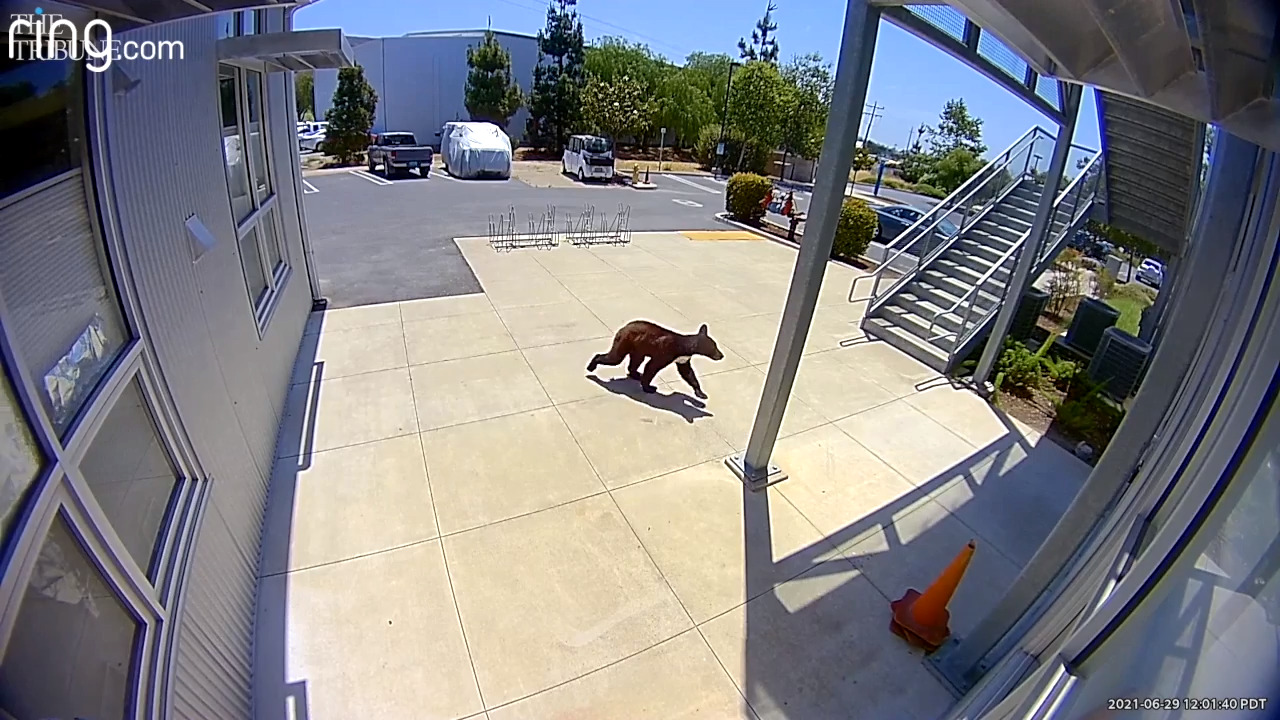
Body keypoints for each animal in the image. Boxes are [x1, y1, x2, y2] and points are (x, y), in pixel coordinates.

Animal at [587, 320, 725, 399]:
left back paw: (636, 374)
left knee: (635, 361)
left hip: (638, 347)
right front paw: (648, 388)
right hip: (625, 341)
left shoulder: (682, 359)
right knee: (614, 358)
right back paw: (591, 367)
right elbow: (652, 367)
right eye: (714, 347)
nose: (721, 355)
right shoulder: (665, 353)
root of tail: (623, 327)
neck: (684, 347)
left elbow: (688, 374)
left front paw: (701, 393)